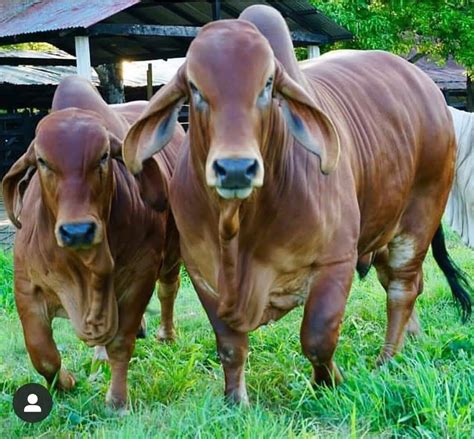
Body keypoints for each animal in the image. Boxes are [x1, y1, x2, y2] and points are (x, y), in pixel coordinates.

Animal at [2, 76, 184, 412]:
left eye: (103, 156)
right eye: (43, 161)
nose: (78, 231)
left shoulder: (142, 274)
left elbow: (122, 341)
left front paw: (117, 401)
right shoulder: (26, 285)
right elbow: (42, 354)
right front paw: (68, 382)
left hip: (173, 252)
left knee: (168, 290)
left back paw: (165, 336)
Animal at [122, 6, 470, 406]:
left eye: (267, 85)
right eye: (195, 88)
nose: (236, 168)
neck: (237, 230)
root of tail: (427, 88)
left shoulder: (336, 261)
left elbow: (317, 337)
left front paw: (330, 382)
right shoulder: (202, 273)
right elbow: (230, 346)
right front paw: (236, 401)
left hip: (418, 219)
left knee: (402, 288)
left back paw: (386, 359)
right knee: (405, 283)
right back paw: (410, 341)